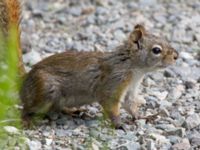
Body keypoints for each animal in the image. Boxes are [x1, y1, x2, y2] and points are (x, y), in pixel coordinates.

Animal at [0, 0, 179, 129]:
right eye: (156, 50)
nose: (176, 56)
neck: (134, 68)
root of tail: (25, 80)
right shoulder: (113, 83)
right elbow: (111, 105)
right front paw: (119, 124)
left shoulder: (130, 90)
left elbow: (131, 106)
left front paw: (142, 116)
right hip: (44, 90)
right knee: (27, 107)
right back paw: (26, 120)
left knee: (55, 108)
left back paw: (72, 111)